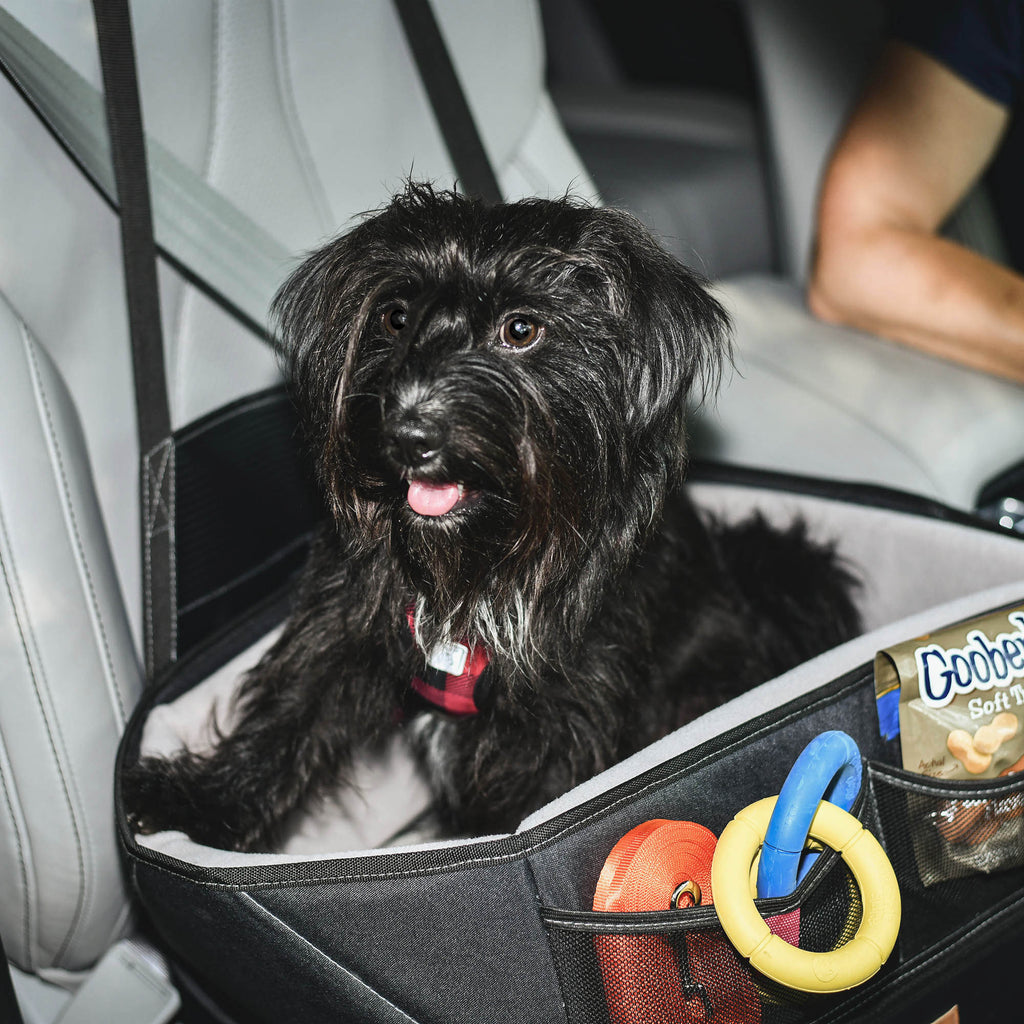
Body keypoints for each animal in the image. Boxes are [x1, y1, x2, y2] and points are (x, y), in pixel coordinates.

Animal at [128, 186, 864, 856]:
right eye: (395, 317)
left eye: (520, 329)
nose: (408, 434)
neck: (478, 568)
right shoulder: (347, 621)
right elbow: (291, 712)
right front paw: (202, 803)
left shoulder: (561, 721)